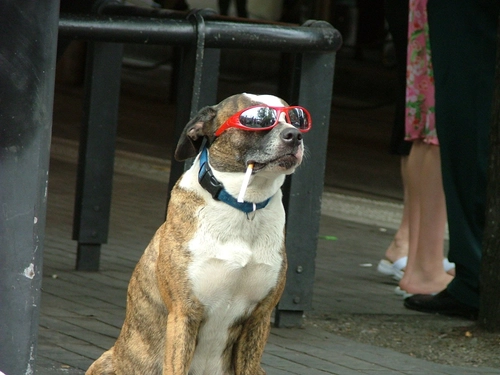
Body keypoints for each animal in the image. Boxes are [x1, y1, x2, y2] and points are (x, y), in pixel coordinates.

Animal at [88, 93, 310, 375]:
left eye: (296, 119)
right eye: (257, 119)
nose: (295, 135)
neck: (244, 205)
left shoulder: (259, 317)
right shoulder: (184, 313)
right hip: (105, 362)